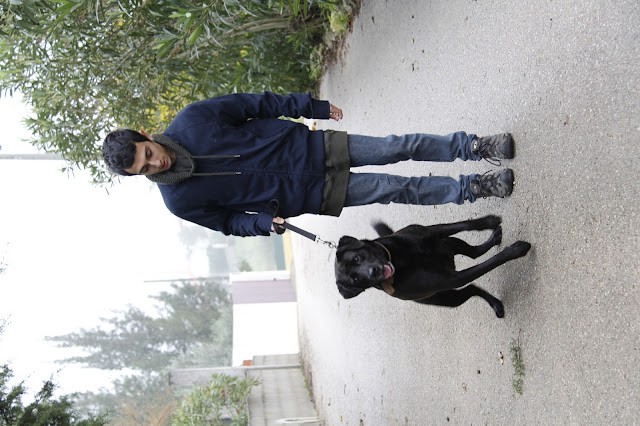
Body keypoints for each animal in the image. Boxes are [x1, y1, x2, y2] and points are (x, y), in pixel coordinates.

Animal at [334, 215, 531, 317]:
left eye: (357, 258)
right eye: (355, 279)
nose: (373, 272)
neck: (401, 259)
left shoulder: (431, 231)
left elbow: (466, 224)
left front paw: (489, 221)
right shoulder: (454, 278)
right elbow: (489, 264)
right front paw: (515, 251)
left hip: (448, 243)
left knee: (473, 252)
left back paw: (493, 238)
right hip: (449, 298)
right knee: (471, 288)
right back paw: (495, 303)